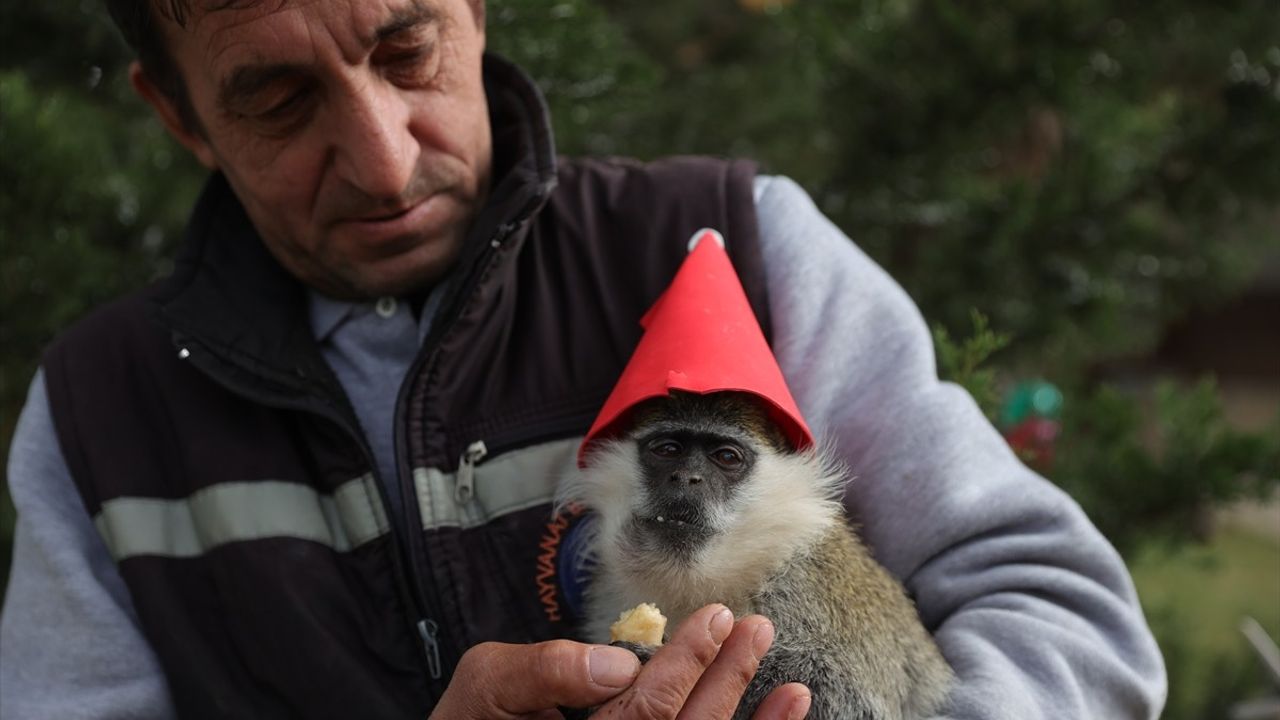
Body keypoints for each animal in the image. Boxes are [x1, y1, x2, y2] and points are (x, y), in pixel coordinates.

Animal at [560, 389, 952, 717]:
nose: (686, 478)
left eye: (726, 457)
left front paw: (653, 658)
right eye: (668, 450)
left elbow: (852, 699)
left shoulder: (808, 586)